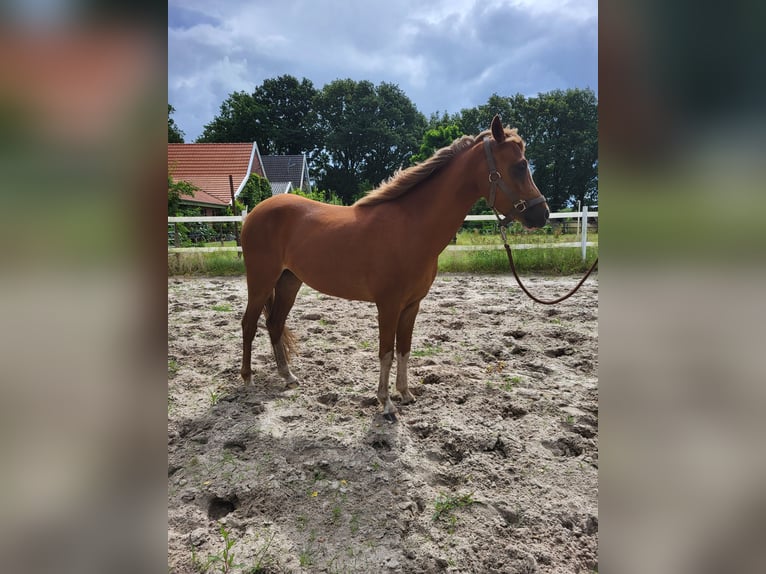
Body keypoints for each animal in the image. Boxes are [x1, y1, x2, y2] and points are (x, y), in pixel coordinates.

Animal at [243, 115, 548, 420]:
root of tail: (256, 212)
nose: (542, 214)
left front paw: (405, 394)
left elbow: (404, 349)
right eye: (520, 166)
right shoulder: (388, 305)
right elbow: (386, 352)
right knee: (249, 323)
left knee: (274, 324)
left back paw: (288, 376)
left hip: (288, 281)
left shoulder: (411, 305)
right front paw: (386, 403)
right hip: (261, 282)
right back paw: (247, 379)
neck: (411, 226)